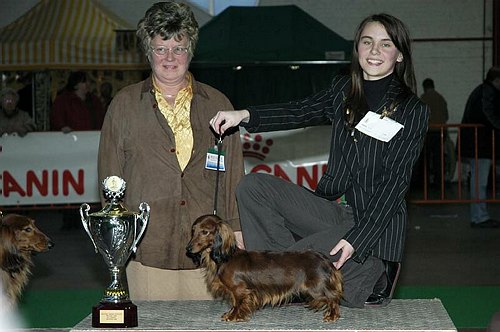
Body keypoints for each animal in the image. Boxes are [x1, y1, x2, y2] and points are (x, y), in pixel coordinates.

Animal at [186, 214, 342, 322]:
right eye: (193, 231)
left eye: (205, 232)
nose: (188, 249)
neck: (226, 257)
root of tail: (325, 259)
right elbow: (235, 303)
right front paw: (231, 314)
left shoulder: (239, 289)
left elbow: (238, 303)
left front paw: (233, 316)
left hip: (316, 288)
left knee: (333, 297)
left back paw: (332, 315)